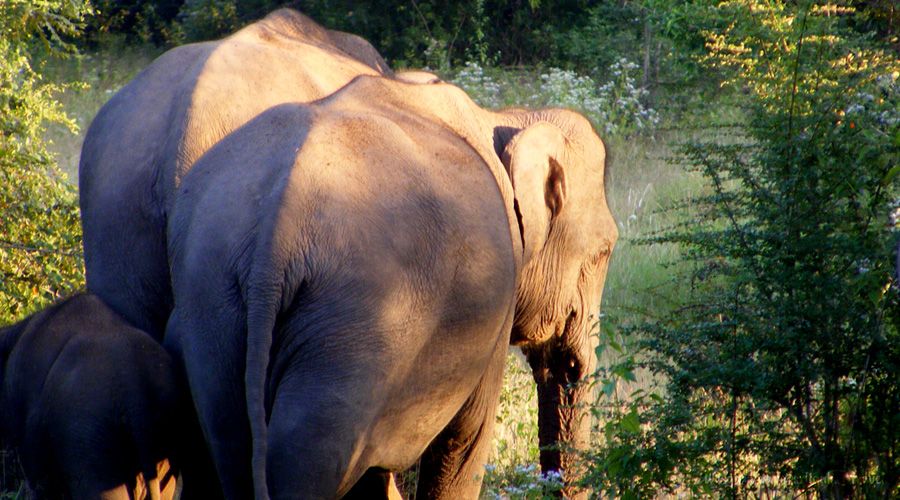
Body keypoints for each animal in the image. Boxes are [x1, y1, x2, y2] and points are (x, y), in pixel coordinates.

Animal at [162, 71, 616, 500]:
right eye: (604, 251)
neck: (505, 118)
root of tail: (273, 236)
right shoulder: (494, 299)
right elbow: (467, 438)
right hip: (355, 329)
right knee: (307, 459)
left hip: (212, 299)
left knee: (232, 444)